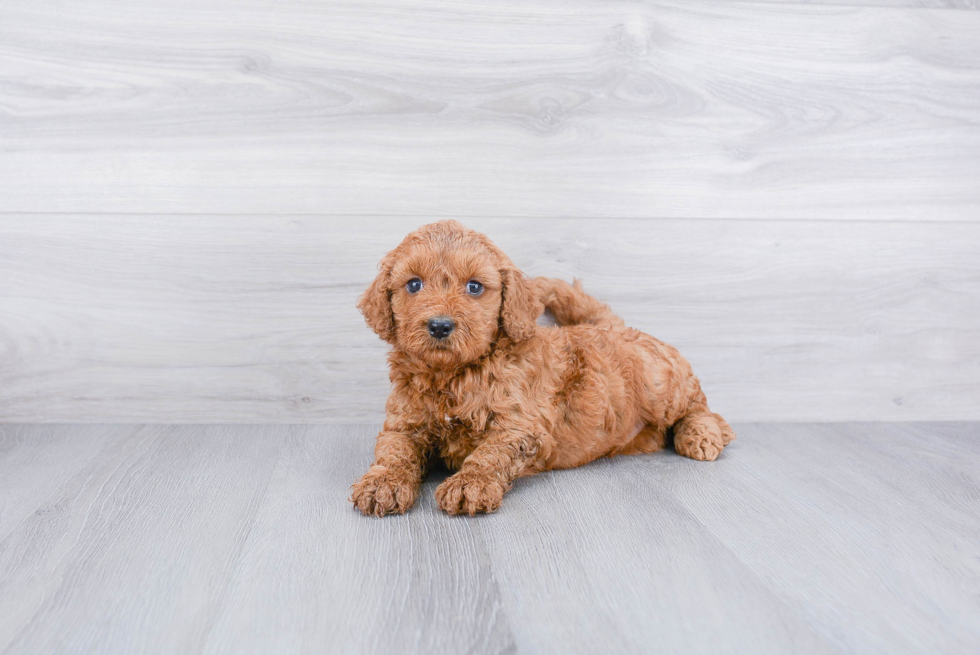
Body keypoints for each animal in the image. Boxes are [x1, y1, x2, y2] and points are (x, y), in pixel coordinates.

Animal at [348, 222, 732, 516]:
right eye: (414, 284)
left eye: (474, 286)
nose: (440, 326)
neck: (453, 374)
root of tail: (614, 326)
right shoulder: (404, 422)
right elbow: (394, 450)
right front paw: (382, 483)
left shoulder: (522, 426)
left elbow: (491, 452)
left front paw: (469, 484)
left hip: (659, 383)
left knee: (700, 404)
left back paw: (703, 434)